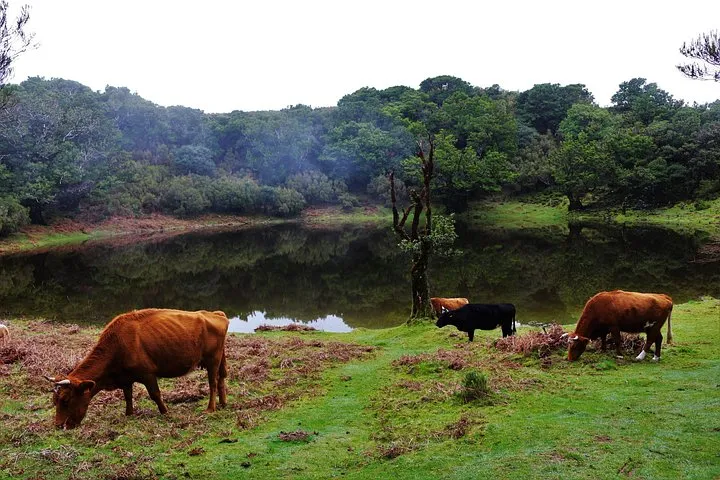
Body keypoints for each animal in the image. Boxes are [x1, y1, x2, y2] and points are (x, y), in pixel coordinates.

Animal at [45, 309, 229, 429]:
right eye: (55, 400)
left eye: (66, 400)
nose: (59, 425)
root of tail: (215, 314)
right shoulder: (125, 378)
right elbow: (127, 396)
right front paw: (129, 413)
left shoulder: (147, 374)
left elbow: (155, 394)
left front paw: (165, 412)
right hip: (219, 359)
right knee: (221, 379)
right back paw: (223, 403)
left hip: (212, 360)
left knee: (212, 382)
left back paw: (210, 408)